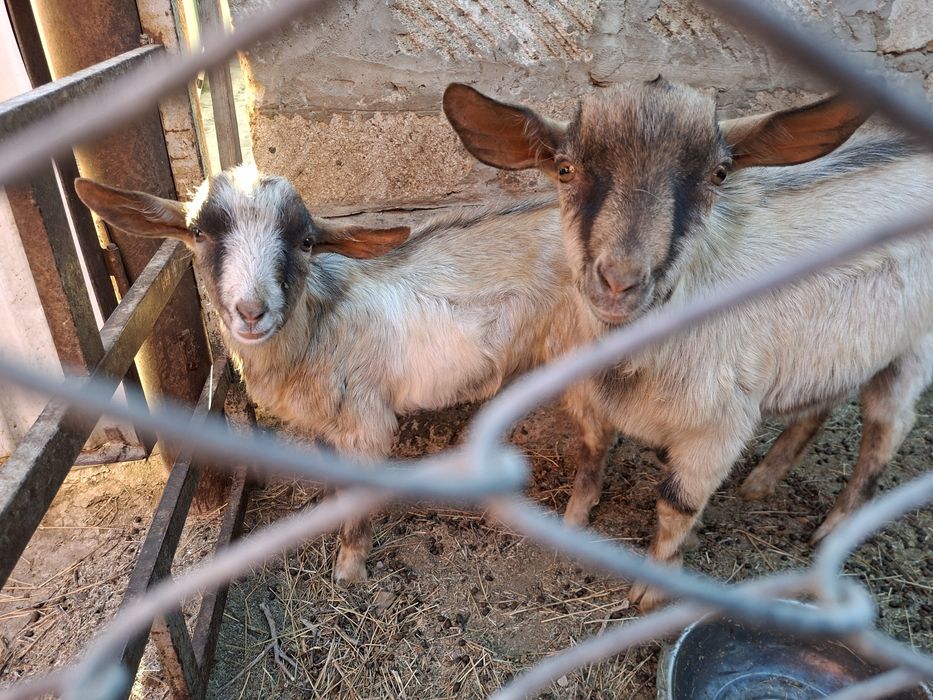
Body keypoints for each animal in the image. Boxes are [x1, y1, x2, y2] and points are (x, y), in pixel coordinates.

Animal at [75, 167, 614, 582]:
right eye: (201, 234)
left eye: (306, 241)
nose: (251, 312)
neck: (315, 326)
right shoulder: (322, 425)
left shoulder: (366, 422)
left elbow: (359, 500)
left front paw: (349, 569)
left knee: (599, 438)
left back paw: (574, 519)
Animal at [444, 79, 933, 610]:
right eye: (564, 168)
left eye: (719, 174)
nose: (619, 282)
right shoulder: (589, 397)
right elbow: (591, 453)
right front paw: (573, 522)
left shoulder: (716, 428)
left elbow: (676, 503)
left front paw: (653, 590)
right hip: (832, 350)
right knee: (820, 404)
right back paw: (761, 482)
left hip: (912, 351)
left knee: (888, 427)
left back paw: (833, 530)